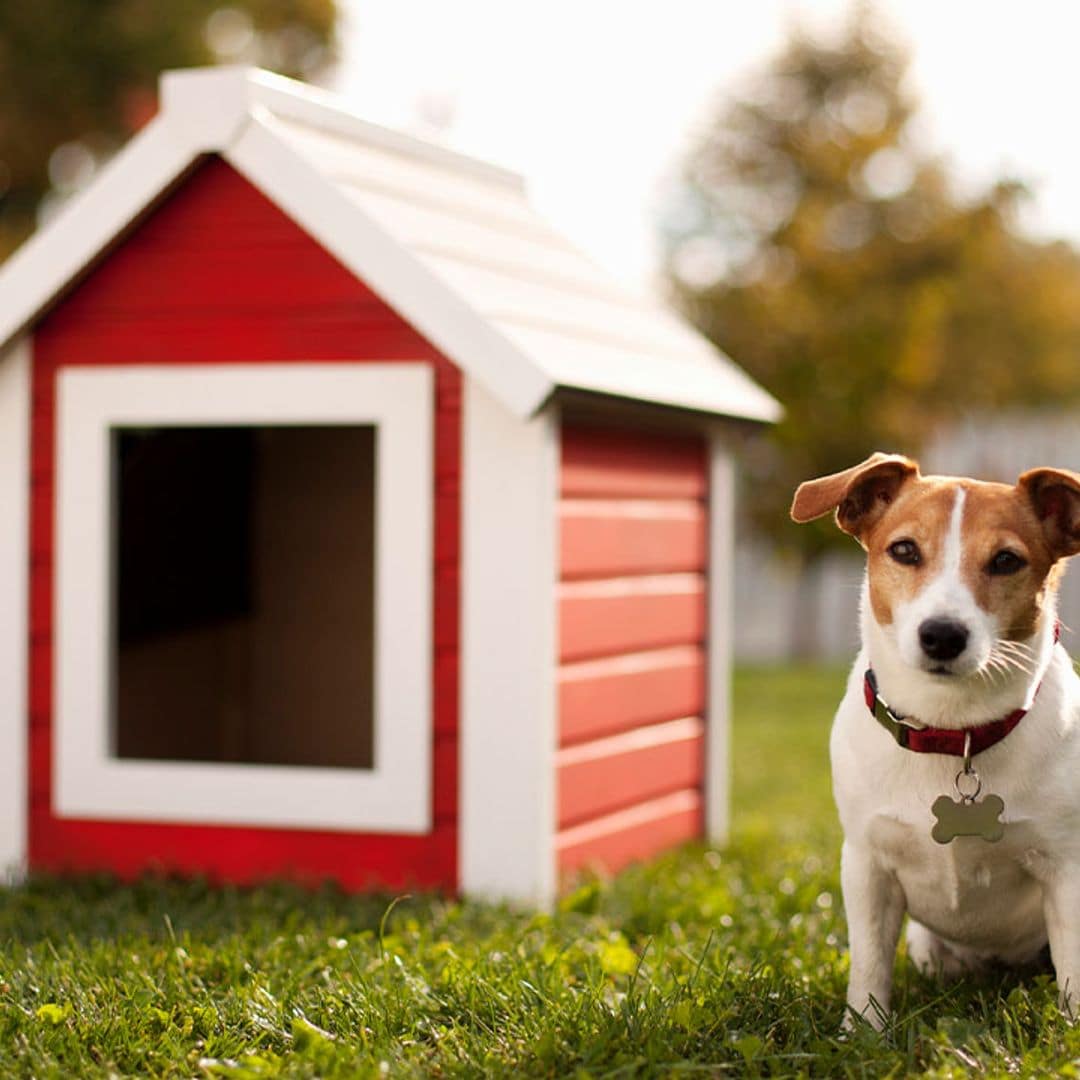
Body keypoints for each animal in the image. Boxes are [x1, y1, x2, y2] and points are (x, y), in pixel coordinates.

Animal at [790, 451, 1080, 1023]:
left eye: (1006, 560)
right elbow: (870, 966)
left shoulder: (1067, 872)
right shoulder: (867, 866)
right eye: (904, 550)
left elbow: (1075, 973)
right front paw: (863, 1030)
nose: (943, 634)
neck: (954, 730)